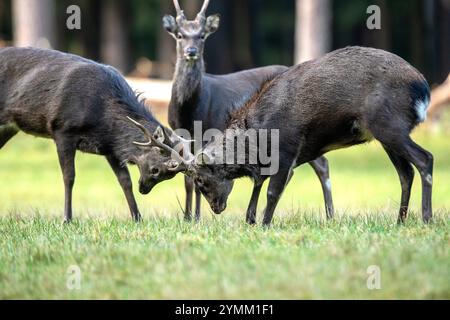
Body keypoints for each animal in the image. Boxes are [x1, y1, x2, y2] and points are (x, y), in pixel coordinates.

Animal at [1, 47, 181, 222]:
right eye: (155, 169)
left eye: (169, 177)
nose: (143, 189)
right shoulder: (63, 129)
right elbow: (69, 177)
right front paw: (67, 219)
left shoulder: (110, 148)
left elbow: (125, 181)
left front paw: (137, 218)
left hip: (9, 128)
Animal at [156, 46, 432, 226]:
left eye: (201, 180)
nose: (216, 208)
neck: (258, 133)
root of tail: (423, 87)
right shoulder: (295, 155)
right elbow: (260, 184)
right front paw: (250, 219)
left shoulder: (288, 145)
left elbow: (272, 190)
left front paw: (265, 224)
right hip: (384, 134)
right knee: (405, 173)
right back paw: (400, 220)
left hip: (389, 124)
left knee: (425, 159)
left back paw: (427, 218)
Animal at [163, 0, 332, 224]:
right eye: (180, 35)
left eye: (202, 36)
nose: (191, 51)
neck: (189, 113)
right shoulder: (180, 133)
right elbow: (187, 179)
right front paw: (188, 217)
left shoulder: (211, 132)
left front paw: (196, 218)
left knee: (321, 164)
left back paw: (329, 214)